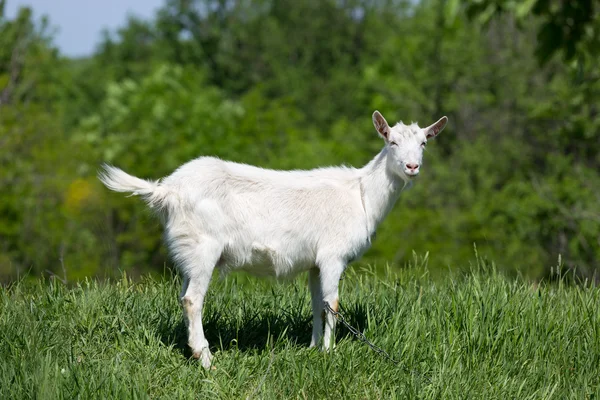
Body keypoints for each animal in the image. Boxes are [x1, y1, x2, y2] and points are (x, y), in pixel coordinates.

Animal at [97, 111, 446, 368]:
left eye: (424, 144)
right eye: (392, 142)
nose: (412, 166)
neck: (361, 194)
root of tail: (168, 190)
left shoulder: (315, 263)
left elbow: (317, 304)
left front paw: (313, 348)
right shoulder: (333, 255)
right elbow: (333, 304)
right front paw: (330, 353)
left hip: (188, 251)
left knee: (183, 296)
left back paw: (191, 351)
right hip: (204, 247)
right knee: (193, 300)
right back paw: (206, 359)